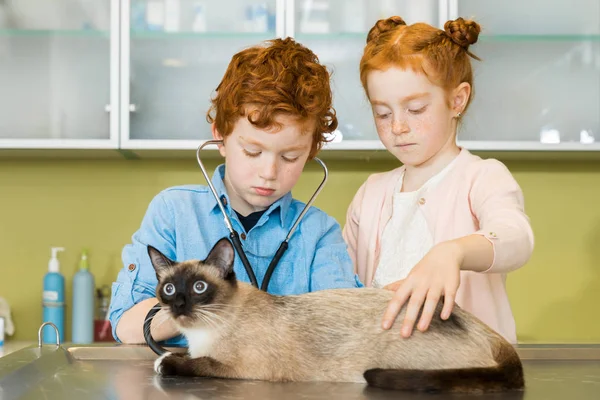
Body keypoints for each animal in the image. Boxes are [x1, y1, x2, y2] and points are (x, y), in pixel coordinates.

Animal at [148, 238, 524, 394]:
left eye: (199, 288)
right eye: (169, 288)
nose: (178, 305)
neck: (204, 331)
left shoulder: (241, 369)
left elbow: (195, 363)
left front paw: (165, 363)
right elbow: (186, 355)